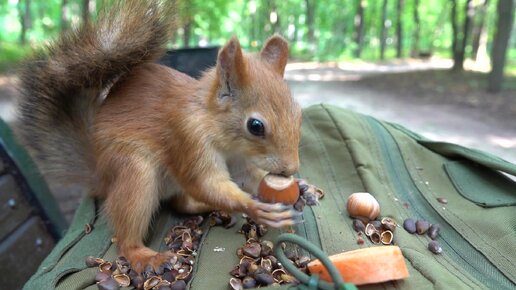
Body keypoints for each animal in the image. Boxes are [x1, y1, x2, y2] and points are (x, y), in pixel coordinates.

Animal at [16, 0, 302, 270]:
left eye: (298, 114)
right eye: (255, 126)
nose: (291, 168)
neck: (216, 127)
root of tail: (100, 175)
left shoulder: (240, 159)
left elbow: (248, 177)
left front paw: (301, 189)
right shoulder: (187, 139)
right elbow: (206, 183)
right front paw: (255, 207)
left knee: (181, 203)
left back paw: (207, 208)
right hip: (134, 173)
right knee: (127, 237)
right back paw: (146, 257)